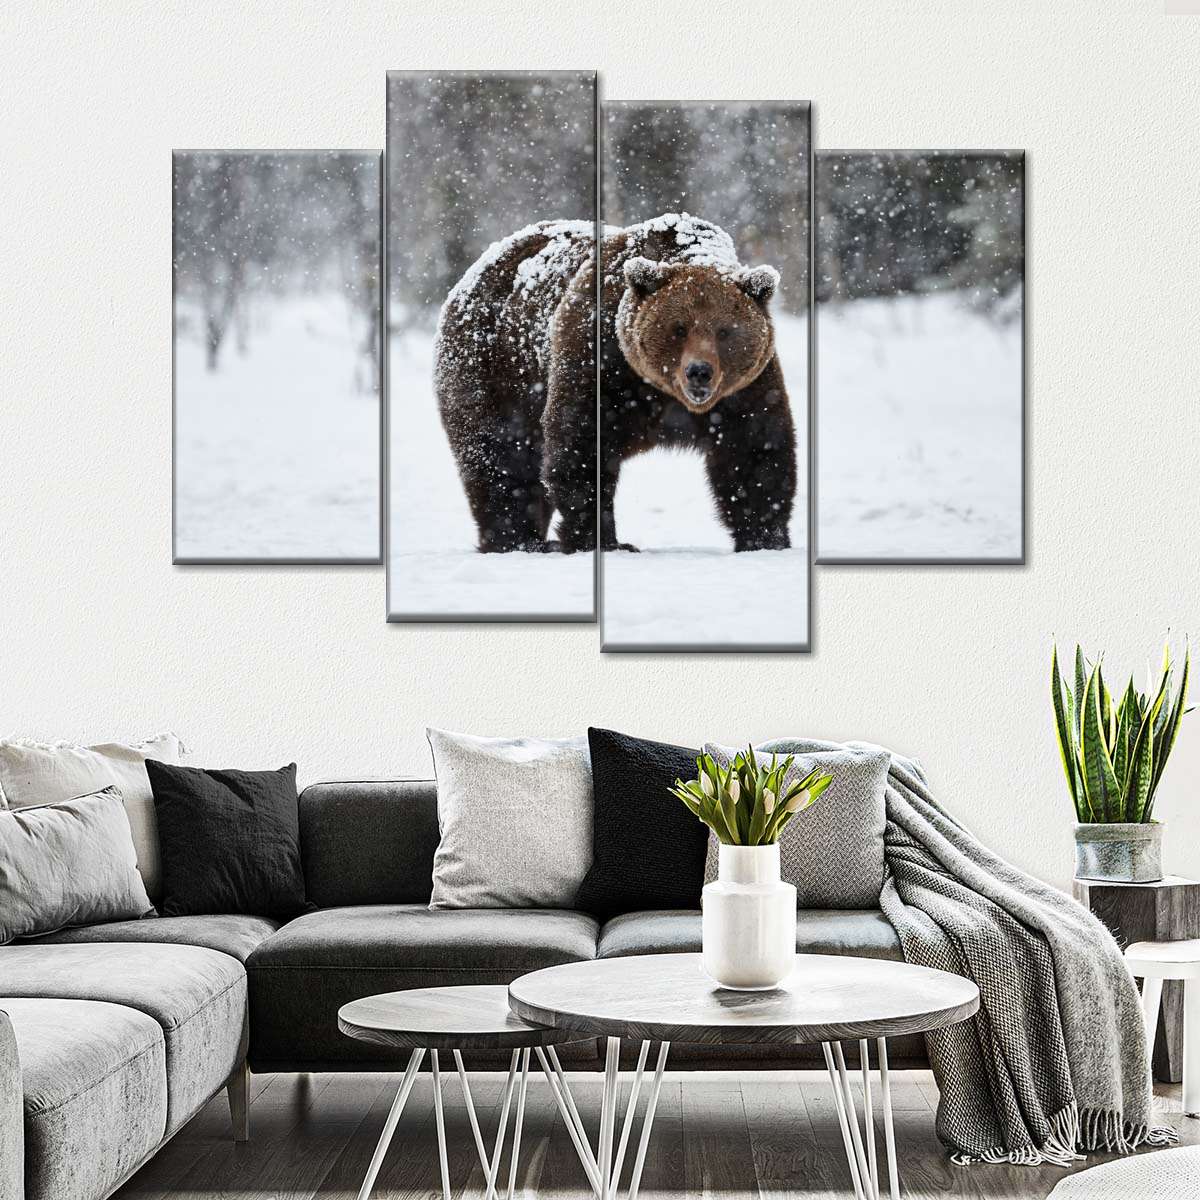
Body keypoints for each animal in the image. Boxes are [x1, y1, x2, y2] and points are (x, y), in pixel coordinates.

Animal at [434, 213, 796, 554]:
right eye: (679, 328)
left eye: (725, 331)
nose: (699, 371)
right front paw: (602, 540)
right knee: (502, 457)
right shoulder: (600, 360)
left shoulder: (744, 390)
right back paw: (517, 540)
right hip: (496, 369)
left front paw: (766, 537)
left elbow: (755, 450)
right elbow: (580, 446)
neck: (661, 392)